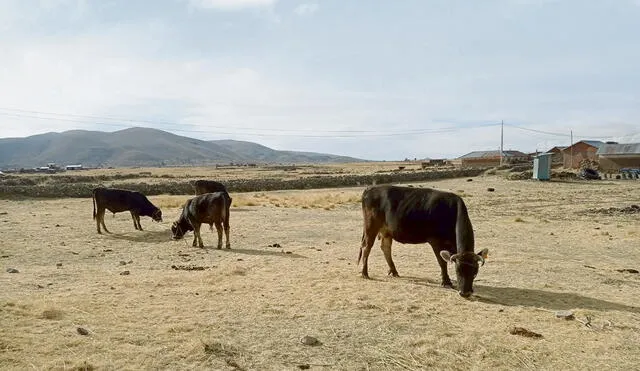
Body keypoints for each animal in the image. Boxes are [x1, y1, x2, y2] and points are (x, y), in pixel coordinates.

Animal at [358, 186, 488, 300]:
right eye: (457, 271)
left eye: (475, 272)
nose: (465, 293)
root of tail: (371, 188)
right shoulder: (435, 241)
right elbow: (442, 262)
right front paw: (446, 281)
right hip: (371, 226)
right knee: (367, 247)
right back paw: (365, 273)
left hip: (386, 231)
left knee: (386, 248)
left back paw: (394, 271)